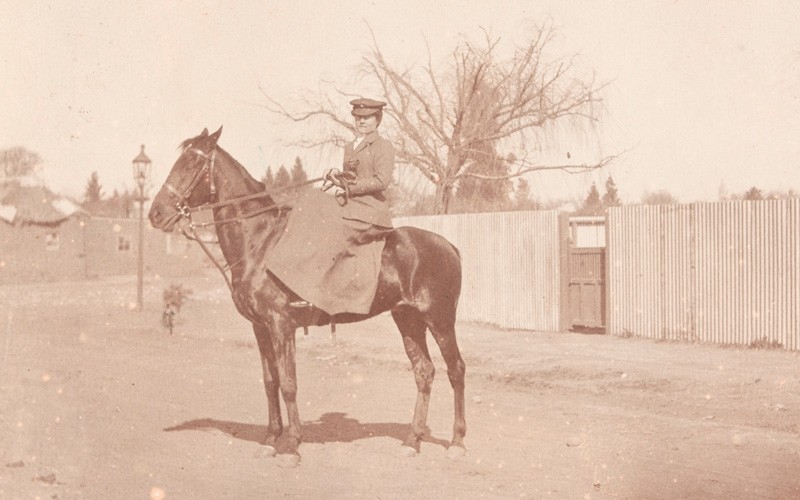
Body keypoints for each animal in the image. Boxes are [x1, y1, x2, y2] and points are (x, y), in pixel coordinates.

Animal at [147, 126, 466, 460]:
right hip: (408, 319)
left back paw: (457, 442)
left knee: (456, 370)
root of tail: (448, 245)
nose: (155, 213)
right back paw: (412, 440)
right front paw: (270, 438)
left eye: (191, 164)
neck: (261, 242)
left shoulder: (281, 325)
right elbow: (270, 381)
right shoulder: (261, 328)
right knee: (424, 372)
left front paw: (291, 444)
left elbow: (289, 384)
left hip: (440, 320)